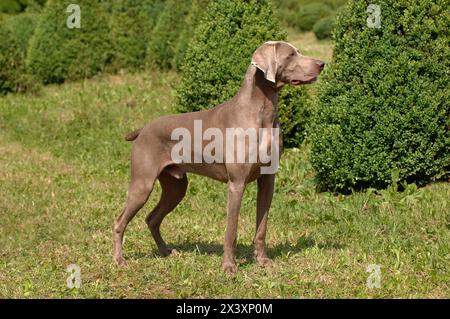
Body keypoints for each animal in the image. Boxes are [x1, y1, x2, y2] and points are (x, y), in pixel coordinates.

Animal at [112, 41, 324, 274]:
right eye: (291, 55)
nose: (322, 63)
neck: (262, 113)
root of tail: (143, 129)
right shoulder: (236, 184)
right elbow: (231, 231)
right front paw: (229, 266)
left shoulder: (268, 179)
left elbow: (262, 227)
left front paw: (262, 260)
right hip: (143, 183)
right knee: (119, 222)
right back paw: (119, 260)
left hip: (176, 187)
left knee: (152, 218)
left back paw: (166, 252)